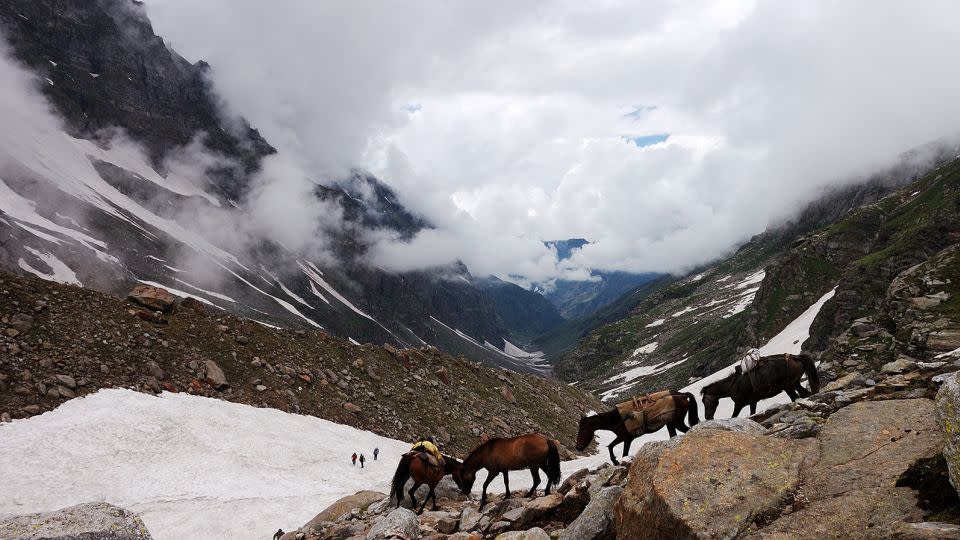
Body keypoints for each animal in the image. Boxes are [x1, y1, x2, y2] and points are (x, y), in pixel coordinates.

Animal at [572, 390, 700, 466]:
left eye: (582, 429)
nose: (578, 447)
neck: (616, 419)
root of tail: (682, 395)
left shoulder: (627, 439)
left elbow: (622, 452)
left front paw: (616, 461)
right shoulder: (622, 437)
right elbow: (611, 446)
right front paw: (615, 461)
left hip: (677, 422)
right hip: (671, 424)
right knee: (674, 435)